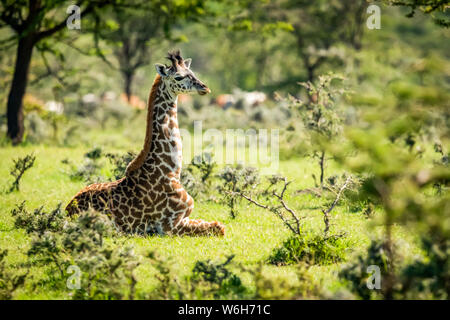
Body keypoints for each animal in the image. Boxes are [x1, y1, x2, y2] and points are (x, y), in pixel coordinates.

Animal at [66, 49, 225, 235]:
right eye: (178, 77)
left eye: (192, 73)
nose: (204, 88)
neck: (171, 171)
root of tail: (67, 211)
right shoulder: (170, 225)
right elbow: (219, 227)